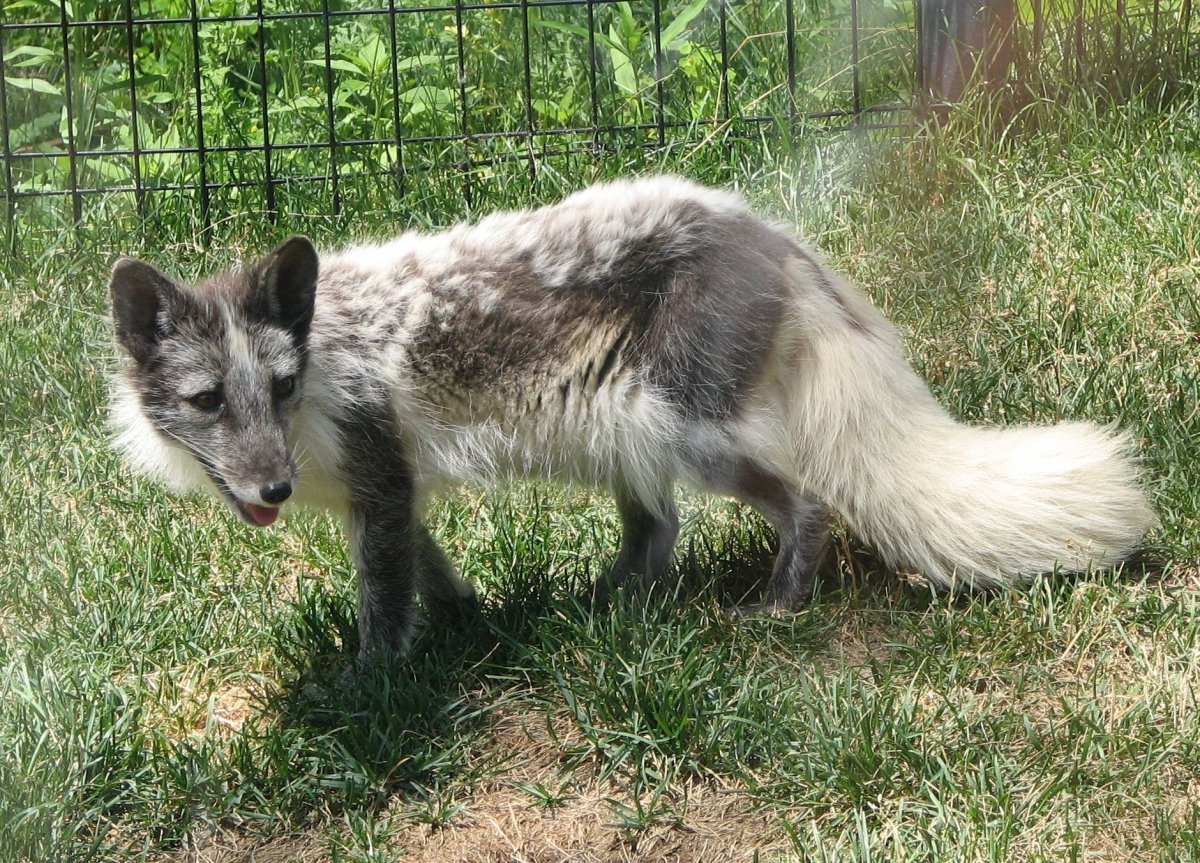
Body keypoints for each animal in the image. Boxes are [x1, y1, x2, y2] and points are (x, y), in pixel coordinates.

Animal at [108, 175, 1156, 661]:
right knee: (658, 533)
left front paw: (377, 687)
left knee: (807, 501)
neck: (327, 352)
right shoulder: (388, 495)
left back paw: (777, 606)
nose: (275, 486)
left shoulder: (380, 481)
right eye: (209, 401)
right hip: (622, 428)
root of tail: (764, 232)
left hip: (686, 429)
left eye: (281, 387)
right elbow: (431, 577)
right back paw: (609, 605)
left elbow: (384, 604)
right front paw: (469, 625)